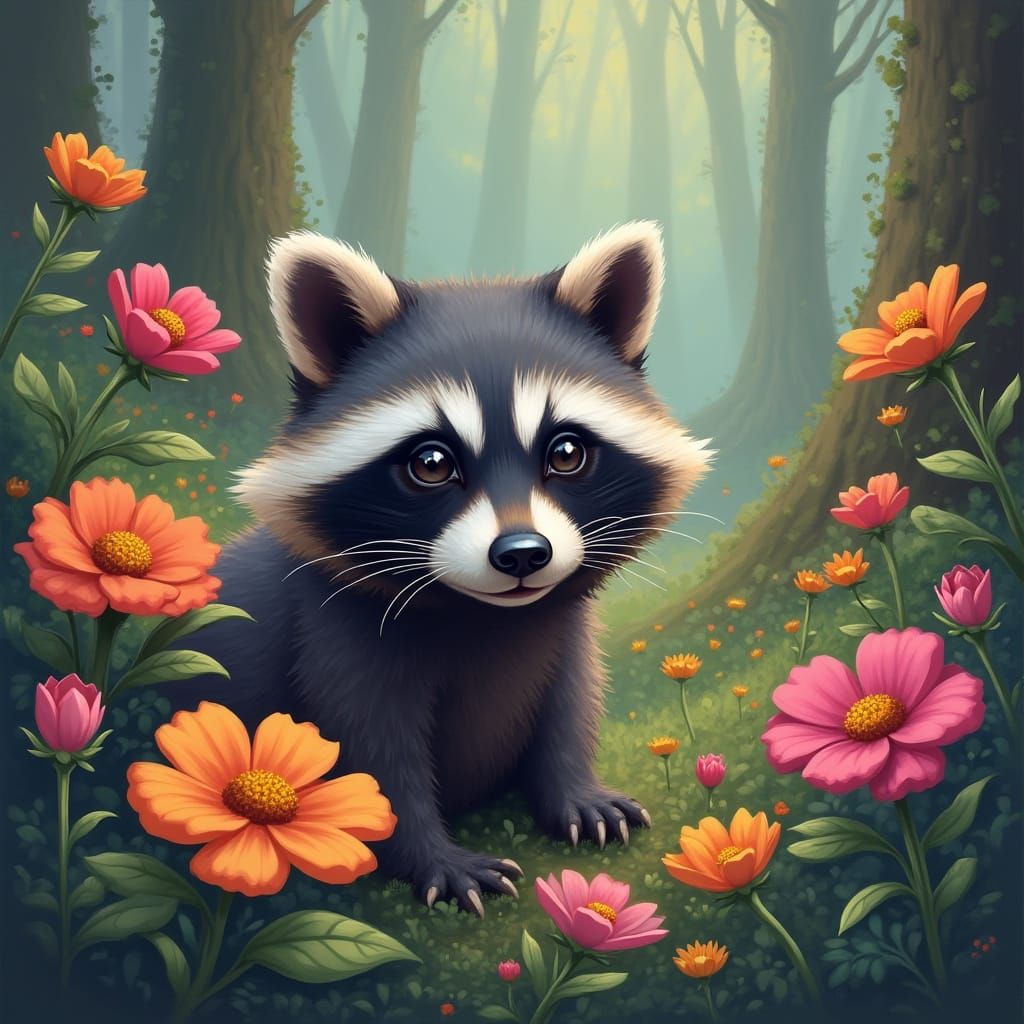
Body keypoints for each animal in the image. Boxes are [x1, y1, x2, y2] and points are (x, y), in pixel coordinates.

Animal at [186, 221, 712, 915]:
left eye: (567, 452)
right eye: (431, 464)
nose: (523, 554)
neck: (483, 615)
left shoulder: (562, 629)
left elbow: (569, 703)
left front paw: (574, 790)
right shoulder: (330, 634)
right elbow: (367, 755)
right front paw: (431, 857)